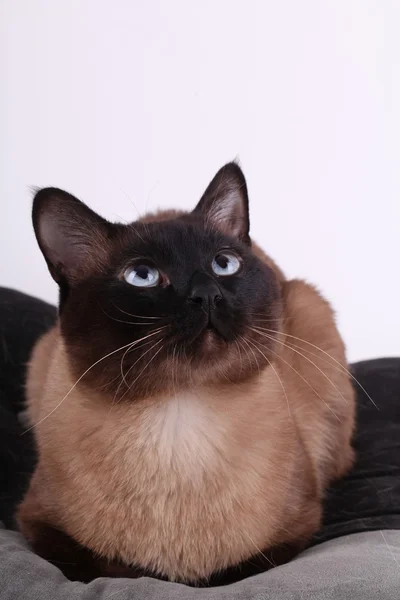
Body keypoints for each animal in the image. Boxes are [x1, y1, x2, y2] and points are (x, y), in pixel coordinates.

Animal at [15, 164, 354, 584]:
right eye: (141, 275)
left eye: (223, 264)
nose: (207, 294)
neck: (179, 416)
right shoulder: (37, 523)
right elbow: (110, 568)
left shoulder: (297, 527)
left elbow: (232, 570)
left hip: (313, 312)